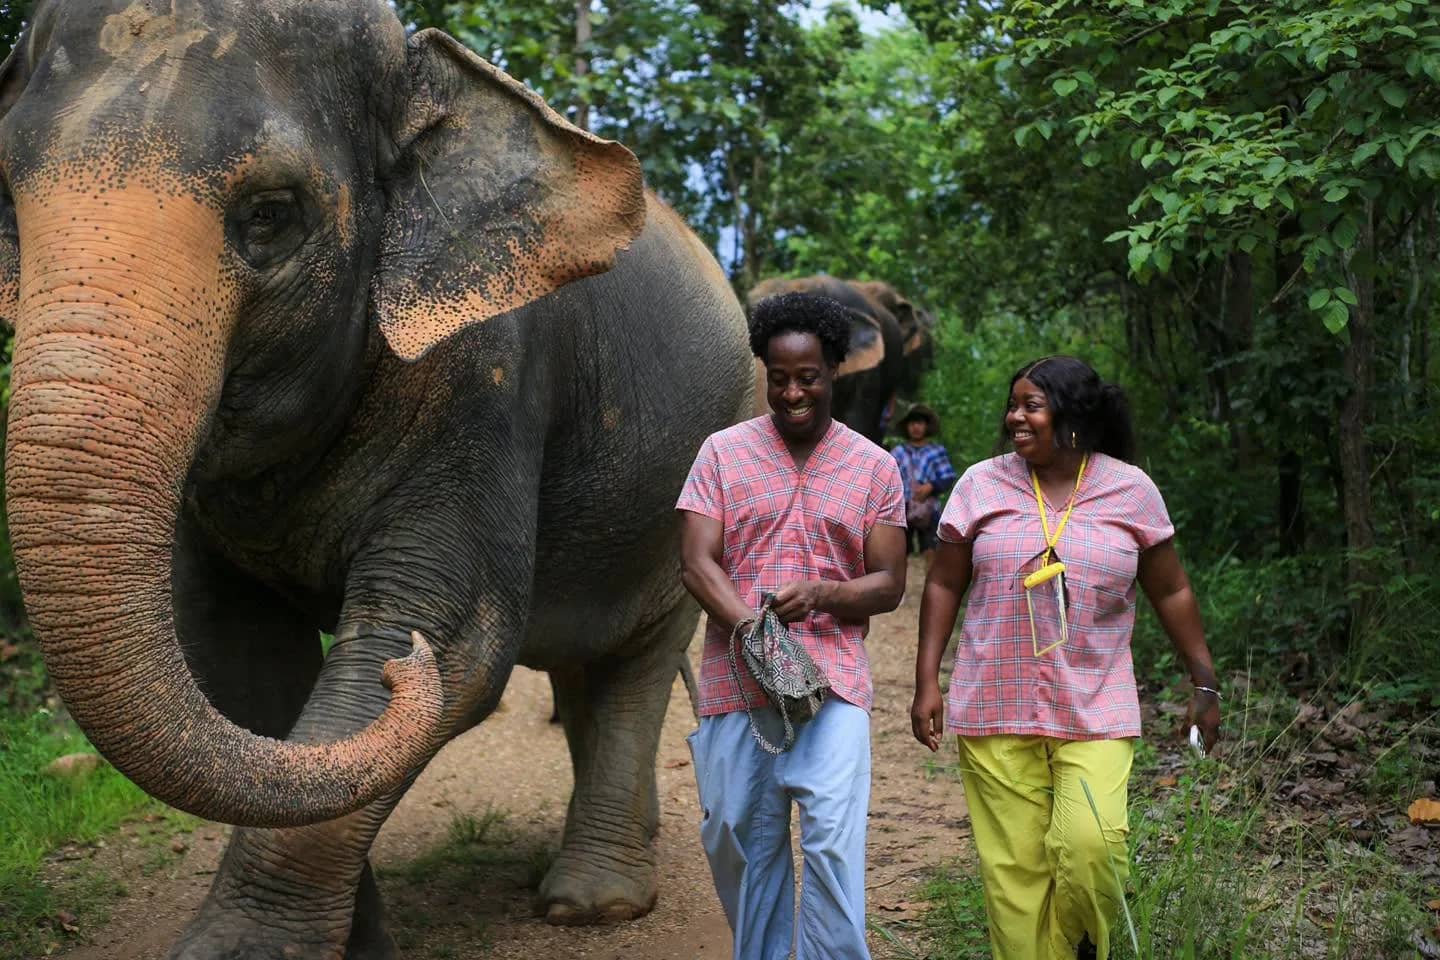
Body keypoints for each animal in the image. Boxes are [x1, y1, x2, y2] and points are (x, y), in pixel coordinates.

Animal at [0, 1, 752, 957]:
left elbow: (450, 642)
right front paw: (358, 943)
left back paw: (593, 904)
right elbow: (236, 659)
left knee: (638, 662)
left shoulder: (488, 382)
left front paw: (240, 950)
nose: (407, 676)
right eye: (9, 198)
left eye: (271, 214)